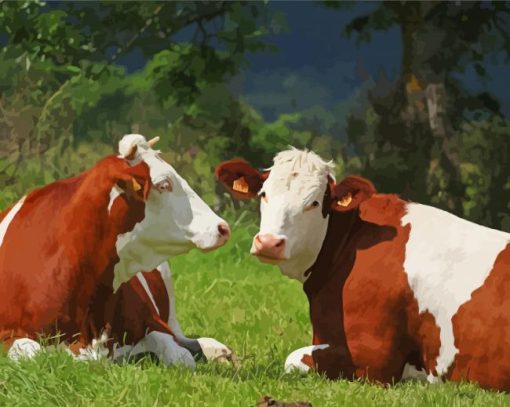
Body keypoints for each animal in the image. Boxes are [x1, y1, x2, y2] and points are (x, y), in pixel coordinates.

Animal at [0, 135, 232, 366]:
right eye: (164, 184)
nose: (222, 227)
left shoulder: (154, 322)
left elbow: (180, 356)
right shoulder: (8, 334)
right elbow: (31, 352)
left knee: (184, 338)